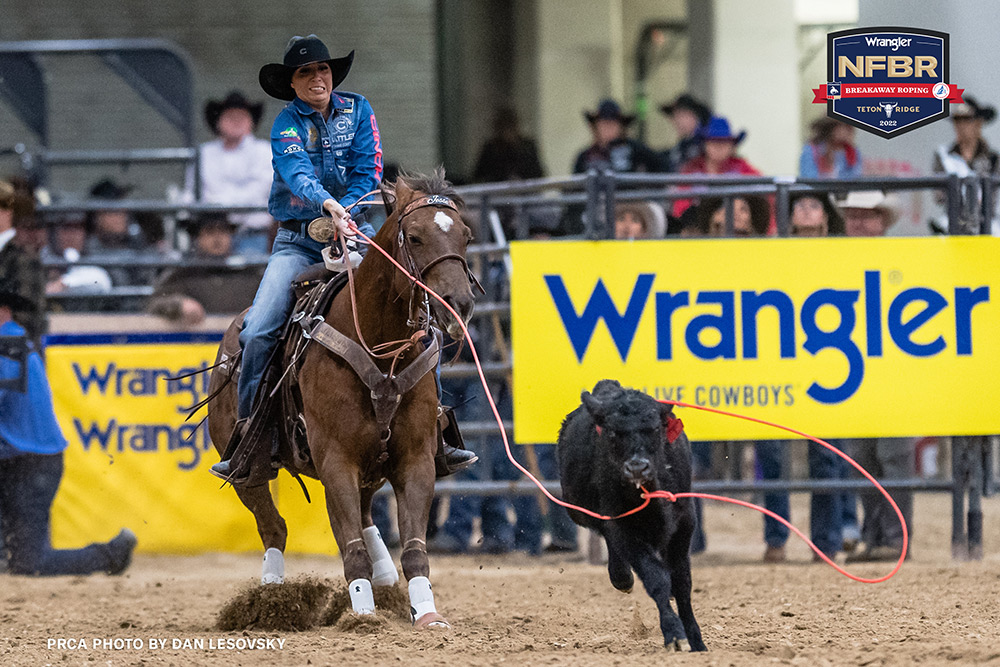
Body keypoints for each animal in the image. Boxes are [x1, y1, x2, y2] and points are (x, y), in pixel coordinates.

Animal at [204, 170, 476, 628]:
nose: (458, 304)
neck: (378, 345)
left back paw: (385, 581)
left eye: (466, 236)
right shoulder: (336, 459)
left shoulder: (416, 458)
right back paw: (270, 598)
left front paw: (427, 614)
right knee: (273, 526)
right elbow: (350, 549)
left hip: (371, 465)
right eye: (415, 237)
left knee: (365, 517)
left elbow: (414, 549)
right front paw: (362, 615)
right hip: (250, 470)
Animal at [560, 380, 708, 652]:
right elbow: (657, 580)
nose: (637, 467)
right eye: (612, 433)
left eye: (654, 429)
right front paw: (675, 635)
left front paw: (696, 639)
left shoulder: (685, 524)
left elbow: (682, 583)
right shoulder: (623, 527)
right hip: (581, 513)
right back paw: (622, 578)